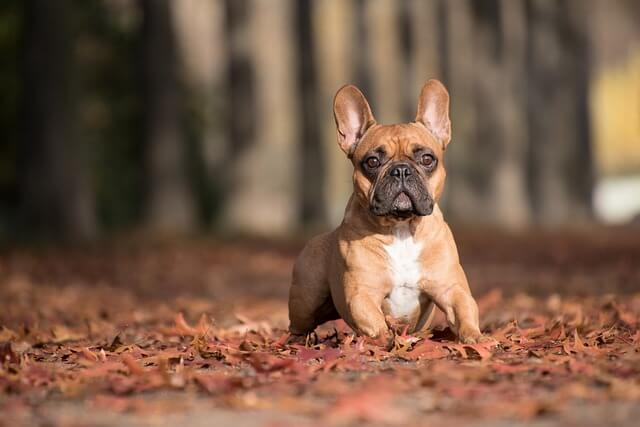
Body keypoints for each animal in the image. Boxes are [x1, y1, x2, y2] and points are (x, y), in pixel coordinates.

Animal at [288, 80, 488, 346]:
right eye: (372, 161)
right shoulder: (362, 295)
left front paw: (475, 337)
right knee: (299, 324)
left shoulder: (451, 288)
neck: (401, 228)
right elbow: (376, 323)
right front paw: (389, 341)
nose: (401, 170)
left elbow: (465, 309)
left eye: (427, 159)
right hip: (306, 299)